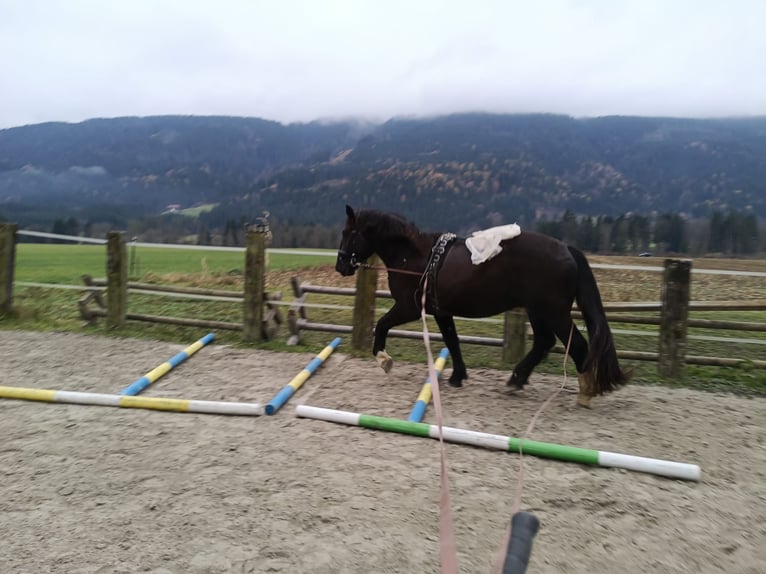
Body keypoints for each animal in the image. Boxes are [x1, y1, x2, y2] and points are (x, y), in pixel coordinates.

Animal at [335, 205, 630, 408]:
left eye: (349, 233)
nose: (341, 265)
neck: (416, 257)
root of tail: (567, 249)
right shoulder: (442, 311)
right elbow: (452, 341)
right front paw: (458, 376)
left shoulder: (409, 307)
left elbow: (382, 324)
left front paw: (383, 359)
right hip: (538, 311)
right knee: (544, 342)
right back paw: (517, 380)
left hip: (553, 312)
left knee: (577, 345)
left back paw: (584, 391)